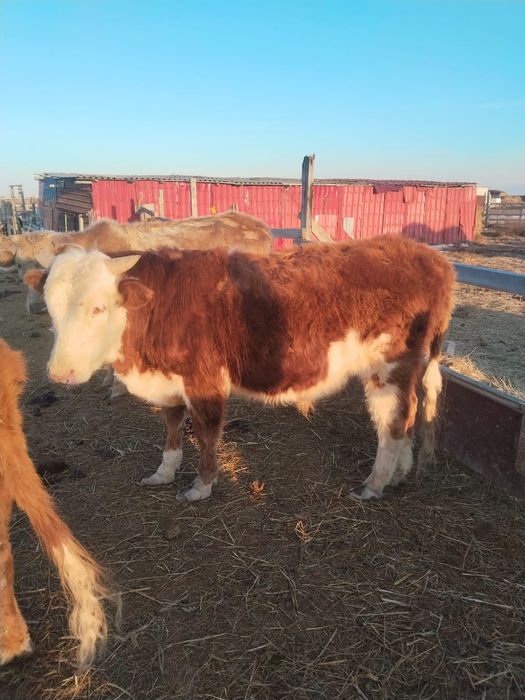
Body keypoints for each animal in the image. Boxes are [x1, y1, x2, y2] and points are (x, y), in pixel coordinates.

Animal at [27, 236, 455, 501]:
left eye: (97, 308)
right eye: (49, 306)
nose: (60, 373)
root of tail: (432, 258)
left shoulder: (204, 380)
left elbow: (205, 434)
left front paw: (200, 487)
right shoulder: (169, 381)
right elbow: (171, 428)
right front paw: (164, 473)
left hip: (389, 365)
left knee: (394, 422)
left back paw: (375, 483)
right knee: (408, 417)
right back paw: (399, 473)